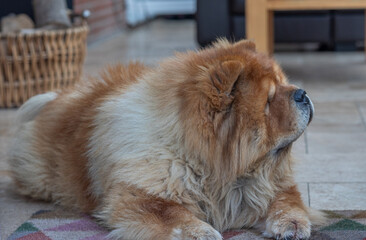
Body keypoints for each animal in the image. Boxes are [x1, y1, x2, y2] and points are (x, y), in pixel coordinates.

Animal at [8, 39, 324, 240]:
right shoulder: (136, 196)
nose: (303, 93)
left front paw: (292, 225)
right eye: (269, 101)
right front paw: (202, 232)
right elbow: (171, 214)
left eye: (284, 82)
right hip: (40, 178)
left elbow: (286, 201)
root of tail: (61, 96)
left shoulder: (270, 183)